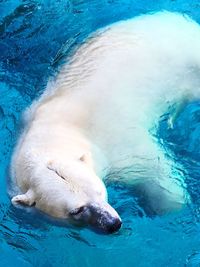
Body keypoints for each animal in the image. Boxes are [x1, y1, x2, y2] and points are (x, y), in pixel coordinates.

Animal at [11, 12, 200, 234]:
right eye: (76, 210)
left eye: (98, 190)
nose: (112, 224)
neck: (57, 130)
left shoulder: (119, 142)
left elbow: (153, 168)